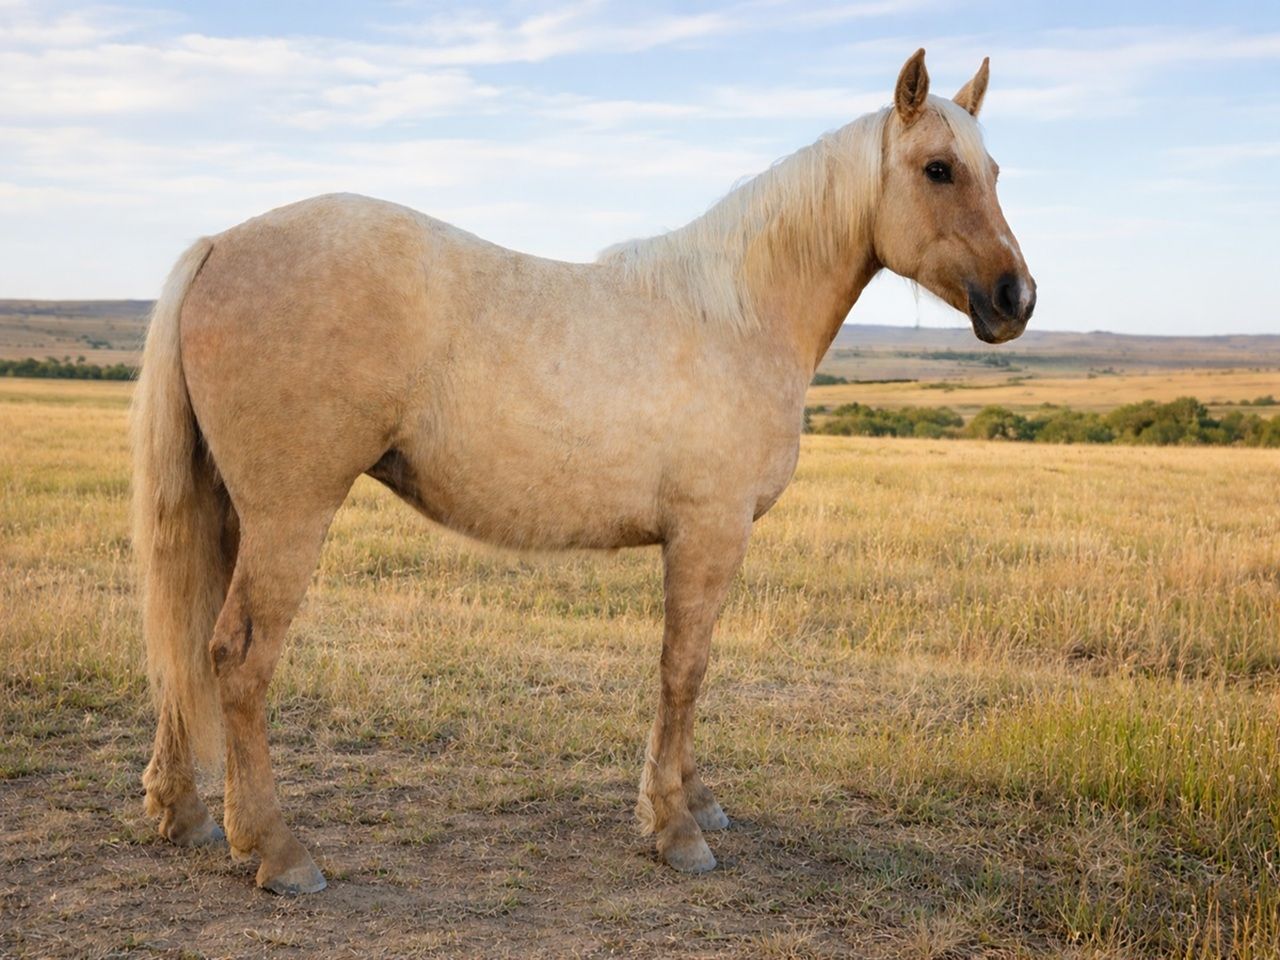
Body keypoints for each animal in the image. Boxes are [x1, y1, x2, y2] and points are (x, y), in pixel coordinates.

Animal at [132, 49, 1035, 895]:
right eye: (939, 169)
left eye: (995, 171)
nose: (1016, 299)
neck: (736, 317)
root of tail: (220, 244)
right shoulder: (708, 533)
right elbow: (684, 669)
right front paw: (675, 829)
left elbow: (694, 668)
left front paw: (695, 800)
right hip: (290, 514)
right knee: (236, 657)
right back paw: (276, 850)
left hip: (228, 509)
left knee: (188, 634)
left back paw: (183, 814)